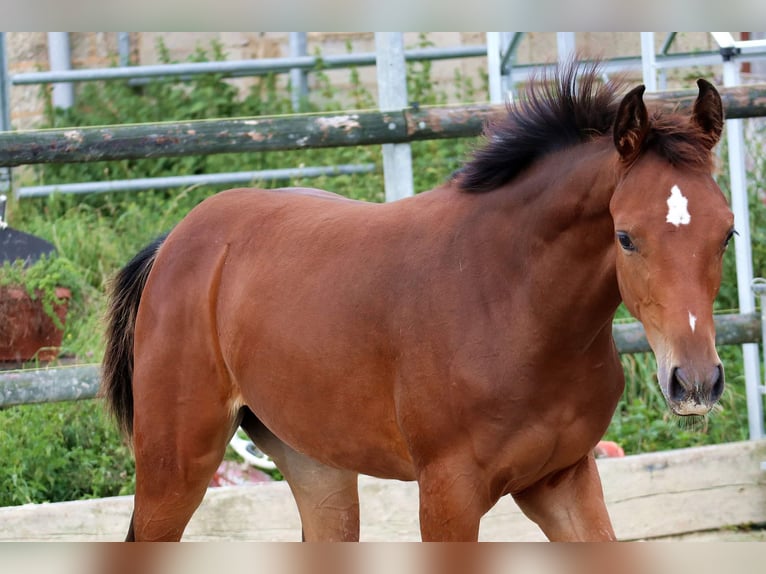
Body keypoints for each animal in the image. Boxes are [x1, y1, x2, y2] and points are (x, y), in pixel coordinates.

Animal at [100, 64, 732, 544]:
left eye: (726, 233)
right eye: (625, 236)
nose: (695, 383)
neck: (514, 305)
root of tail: (178, 241)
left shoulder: (563, 478)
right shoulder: (449, 492)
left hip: (318, 466)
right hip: (177, 464)